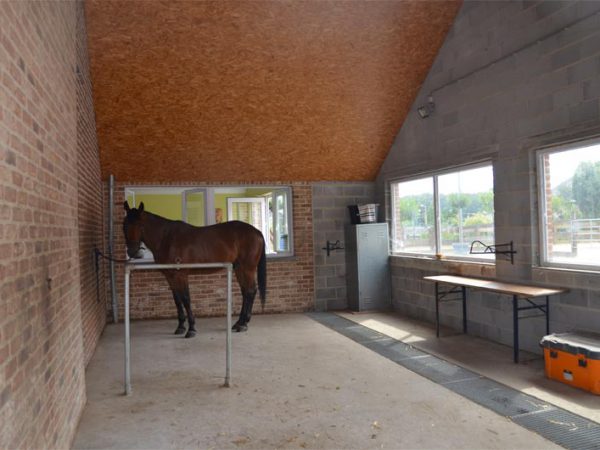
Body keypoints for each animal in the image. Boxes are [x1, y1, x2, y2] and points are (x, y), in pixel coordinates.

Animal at [122, 201, 268, 338]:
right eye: (124, 225)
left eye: (140, 225)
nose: (132, 252)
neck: (166, 238)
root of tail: (257, 232)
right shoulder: (170, 276)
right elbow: (177, 299)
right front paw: (180, 327)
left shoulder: (181, 275)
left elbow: (186, 299)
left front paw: (191, 329)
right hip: (239, 268)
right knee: (245, 292)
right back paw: (239, 323)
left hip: (248, 268)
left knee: (250, 291)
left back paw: (243, 324)